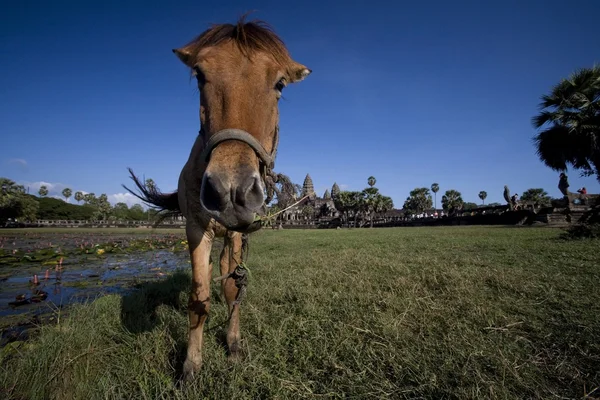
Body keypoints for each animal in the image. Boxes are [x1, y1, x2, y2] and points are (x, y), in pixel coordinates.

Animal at [121, 17, 310, 380]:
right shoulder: (196, 229)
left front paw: (233, 344)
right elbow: (199, 297)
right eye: (200, 75)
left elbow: (234, 287)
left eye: (280, 84)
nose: (230, 190)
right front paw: (191, 364)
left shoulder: (237, 232)